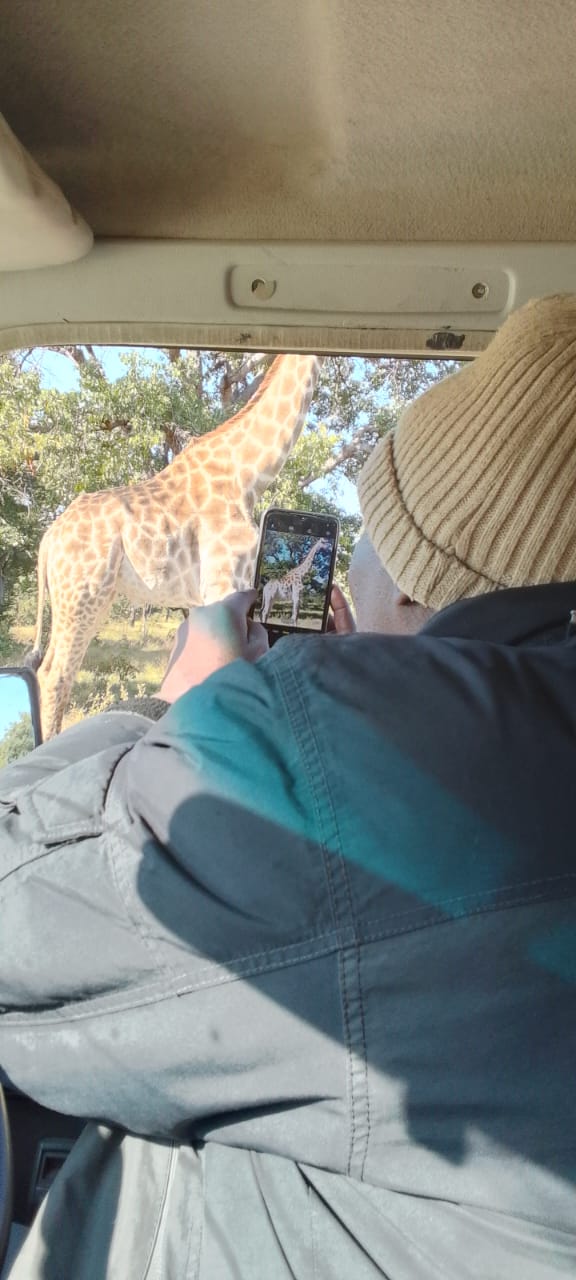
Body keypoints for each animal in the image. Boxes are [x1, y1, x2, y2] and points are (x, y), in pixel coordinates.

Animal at [27, 354, 322, 738]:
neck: (248, 474)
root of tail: (49, 539)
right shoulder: (226, 581)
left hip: (85, 601)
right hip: (82, 596)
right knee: (55, 675)